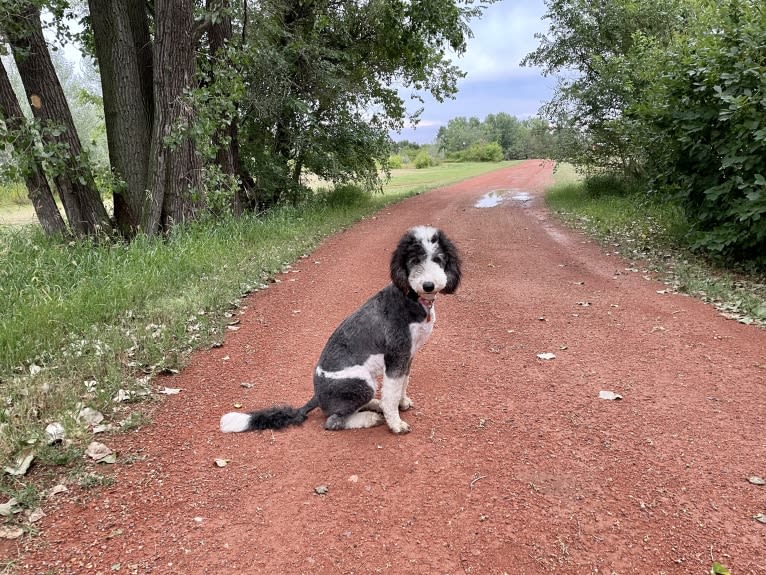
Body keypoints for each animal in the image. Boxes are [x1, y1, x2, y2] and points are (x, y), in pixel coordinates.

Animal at [219, 227, 464, 434]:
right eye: (414, 261)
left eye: (438, 259)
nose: (428, 285)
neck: (411, 298)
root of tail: (317, 396)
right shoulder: (396, 355)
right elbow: (392, 392)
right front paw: (396, 423)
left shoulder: (407, 355)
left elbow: (402, 383)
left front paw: (401, 402)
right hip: (360, 383)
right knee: (333, 421)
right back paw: (370, 417)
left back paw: (375, 405)